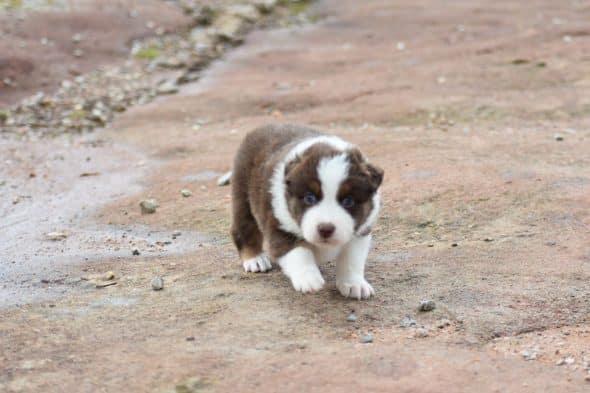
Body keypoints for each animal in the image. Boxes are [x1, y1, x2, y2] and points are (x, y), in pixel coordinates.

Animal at [229, 124, 386, 298]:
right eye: (310, 198)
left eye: (348, 201)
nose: (325, 229)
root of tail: (263, 126)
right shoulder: (279, 226)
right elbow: (299, 252)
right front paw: (308, 278)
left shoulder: (359, 233)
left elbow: (352, 259)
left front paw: (354, 284)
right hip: (243, 195)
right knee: (244, 229)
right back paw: (254, 259)